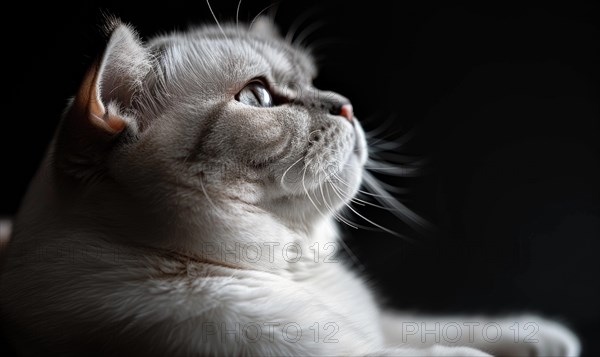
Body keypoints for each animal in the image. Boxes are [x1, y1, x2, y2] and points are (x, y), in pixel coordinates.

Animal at [0, 17, 580, 356]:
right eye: (258, 98)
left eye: (313, 79)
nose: (345, 105)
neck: (297, 275)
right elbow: (439, 353)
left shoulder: (380, 327)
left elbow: (436, 326)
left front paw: (543, 337)